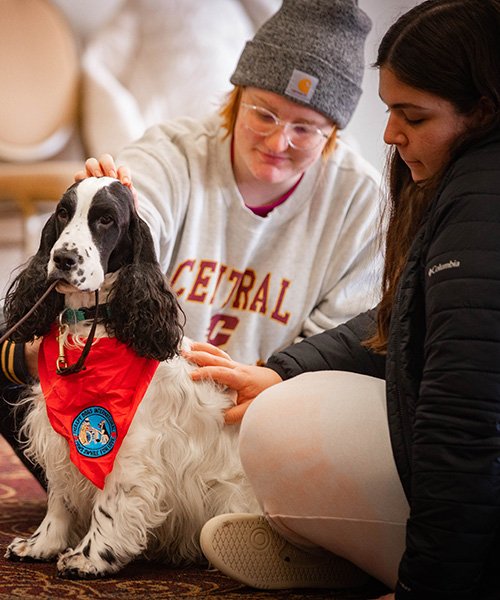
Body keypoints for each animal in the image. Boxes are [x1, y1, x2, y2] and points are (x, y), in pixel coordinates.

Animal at [3, 176, 260, 580]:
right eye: (63, 212)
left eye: (106, 219)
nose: (62, 259)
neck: (90, 328)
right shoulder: (58, 435)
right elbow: (60, 497)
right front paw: (41, 544)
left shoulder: (128, 445)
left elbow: (109, 503)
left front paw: (89, 558)